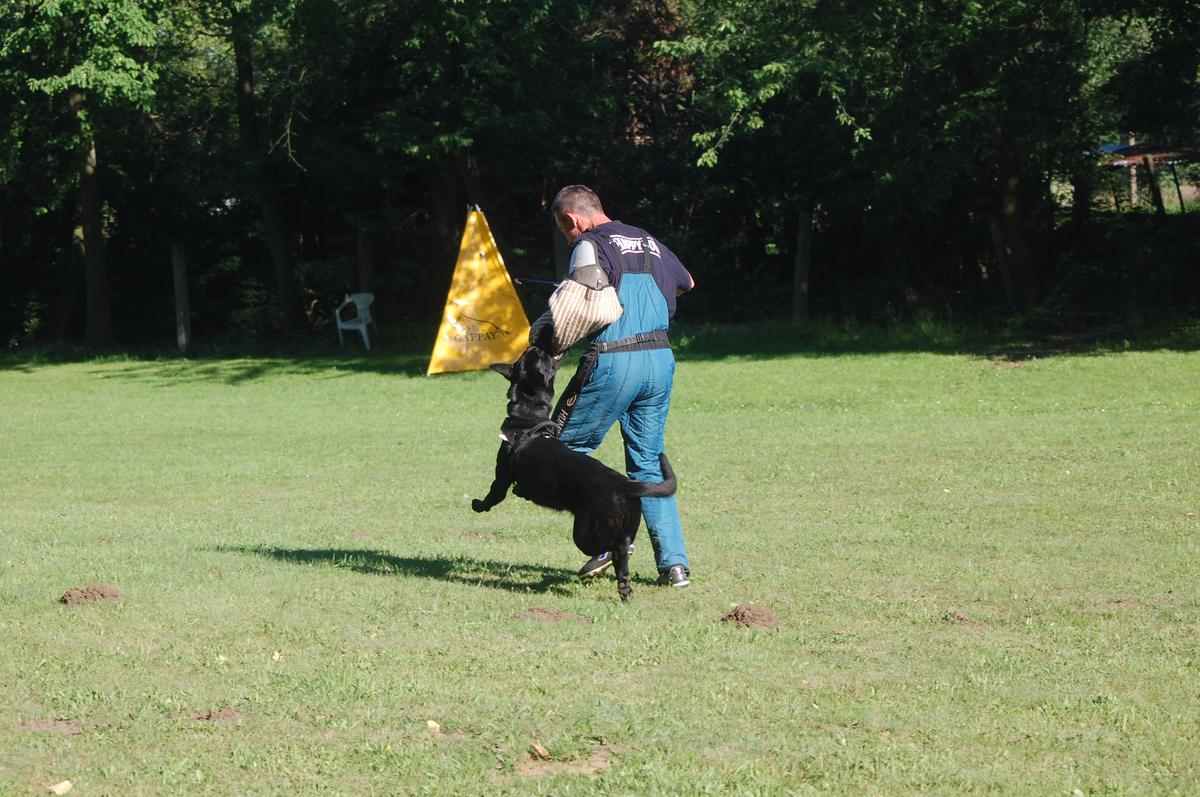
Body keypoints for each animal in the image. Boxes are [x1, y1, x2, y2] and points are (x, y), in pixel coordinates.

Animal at [470, 345, 676, 600]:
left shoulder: (502, 478)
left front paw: (478, 505)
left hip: (584, 533)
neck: (528, 421)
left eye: (531, 356)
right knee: (624, 557)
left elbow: (492, 495)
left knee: (616, 547)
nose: (535, 345)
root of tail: (625, 485)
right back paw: (624, 589)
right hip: (629, 524)